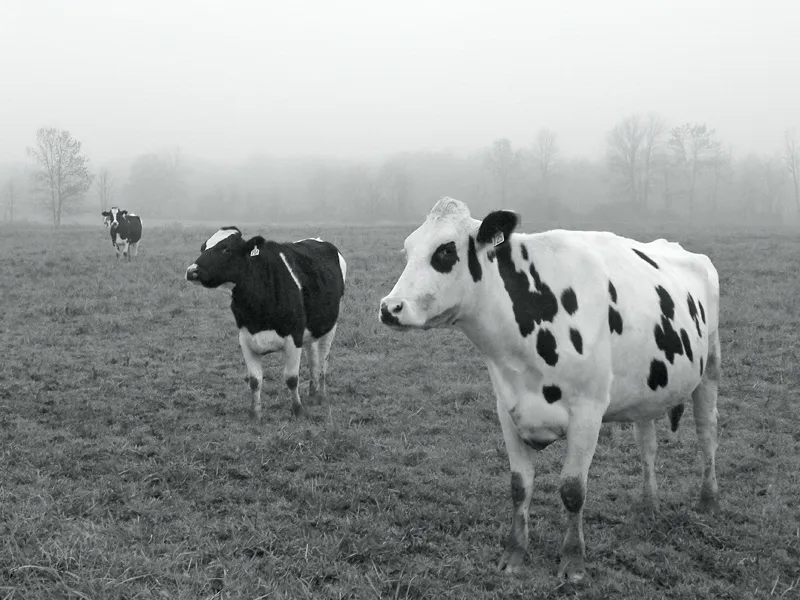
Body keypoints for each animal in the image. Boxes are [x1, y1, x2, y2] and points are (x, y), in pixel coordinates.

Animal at [185, 227, 347, 420]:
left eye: (226, 249)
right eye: (203, 247)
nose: (191, 271)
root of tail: (318, 240)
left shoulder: (294, 337)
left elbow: (291, 378)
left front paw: (297, 410)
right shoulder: (246, 339)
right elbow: (255, 381)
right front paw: (255, 414)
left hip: (330, 325)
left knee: (323, 359)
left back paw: (321, 395)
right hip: (311, 329)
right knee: (312, 355)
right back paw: (313, 391)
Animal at [378, 197, 721, 583]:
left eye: (446, 250)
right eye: (408, 249)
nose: (389, 308)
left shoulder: (588, 412)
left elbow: (572, 489)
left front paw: (573, 562)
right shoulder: (507, 409)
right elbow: (519, 485)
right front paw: (514, 554)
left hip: (710, 366)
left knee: (707, 433)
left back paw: (708, 500)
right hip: (646, 391)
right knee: (647, 445)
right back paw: (649, 505)